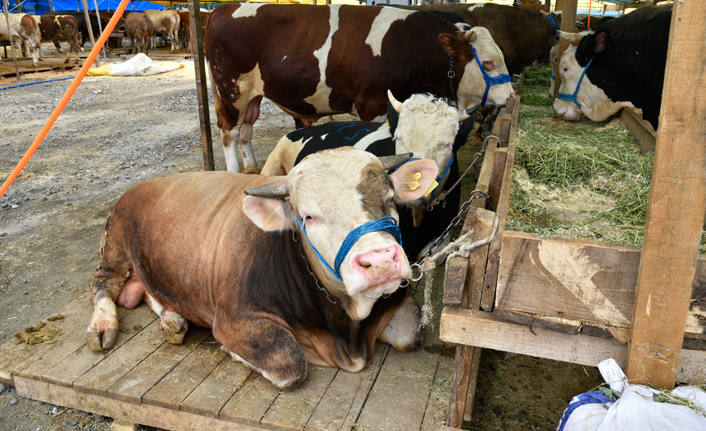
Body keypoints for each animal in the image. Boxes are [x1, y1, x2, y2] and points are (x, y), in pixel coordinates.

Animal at [86, 148, 440, 392]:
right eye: (307, 216)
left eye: (390, 198)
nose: (379, 260)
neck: (347, 331)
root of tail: (145, 184)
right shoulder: (233, 318)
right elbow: (289, 363)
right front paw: (235, 353)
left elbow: (412, 334)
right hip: (114, 243)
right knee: (104, 283)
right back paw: (102, 325)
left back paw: (173, 319)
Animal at [204, 3, 512, 172]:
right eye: (487, 63)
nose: (510, 94)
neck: (411, 47)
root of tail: (222, 8)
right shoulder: (374, 104)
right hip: (232, 91)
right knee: (230, 133)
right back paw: (234, 172)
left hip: (252, 96)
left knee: (246, 130)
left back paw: (252, 168)